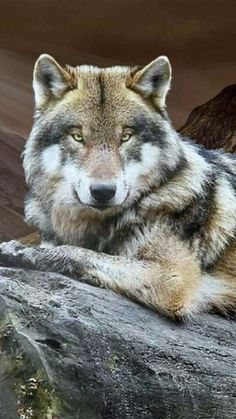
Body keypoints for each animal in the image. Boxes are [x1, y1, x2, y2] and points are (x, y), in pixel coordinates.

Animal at [0, 54, 235, 320]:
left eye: (125, 137)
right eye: (78, 137)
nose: (103, 191)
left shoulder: (172, 278)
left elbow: (80, 253)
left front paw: (25, 253)